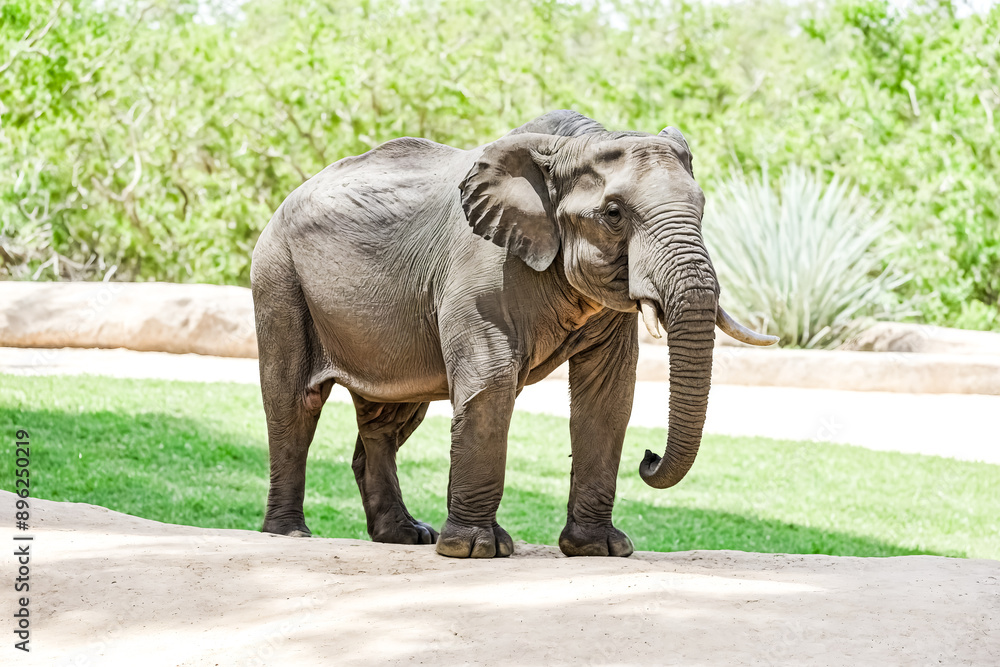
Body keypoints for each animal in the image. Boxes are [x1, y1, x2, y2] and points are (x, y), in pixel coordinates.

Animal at [250, 110, 776, 559]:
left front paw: (600, 549)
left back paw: (406, 536)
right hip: (278, 276)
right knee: (293, 405)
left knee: (389, 418)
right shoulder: (480, 267)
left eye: (701, 210)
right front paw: (475, 550)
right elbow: (491, 381)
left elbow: (608, 394)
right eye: (613, 214)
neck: (577, 143)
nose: (648, 458)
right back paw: (290, 534)